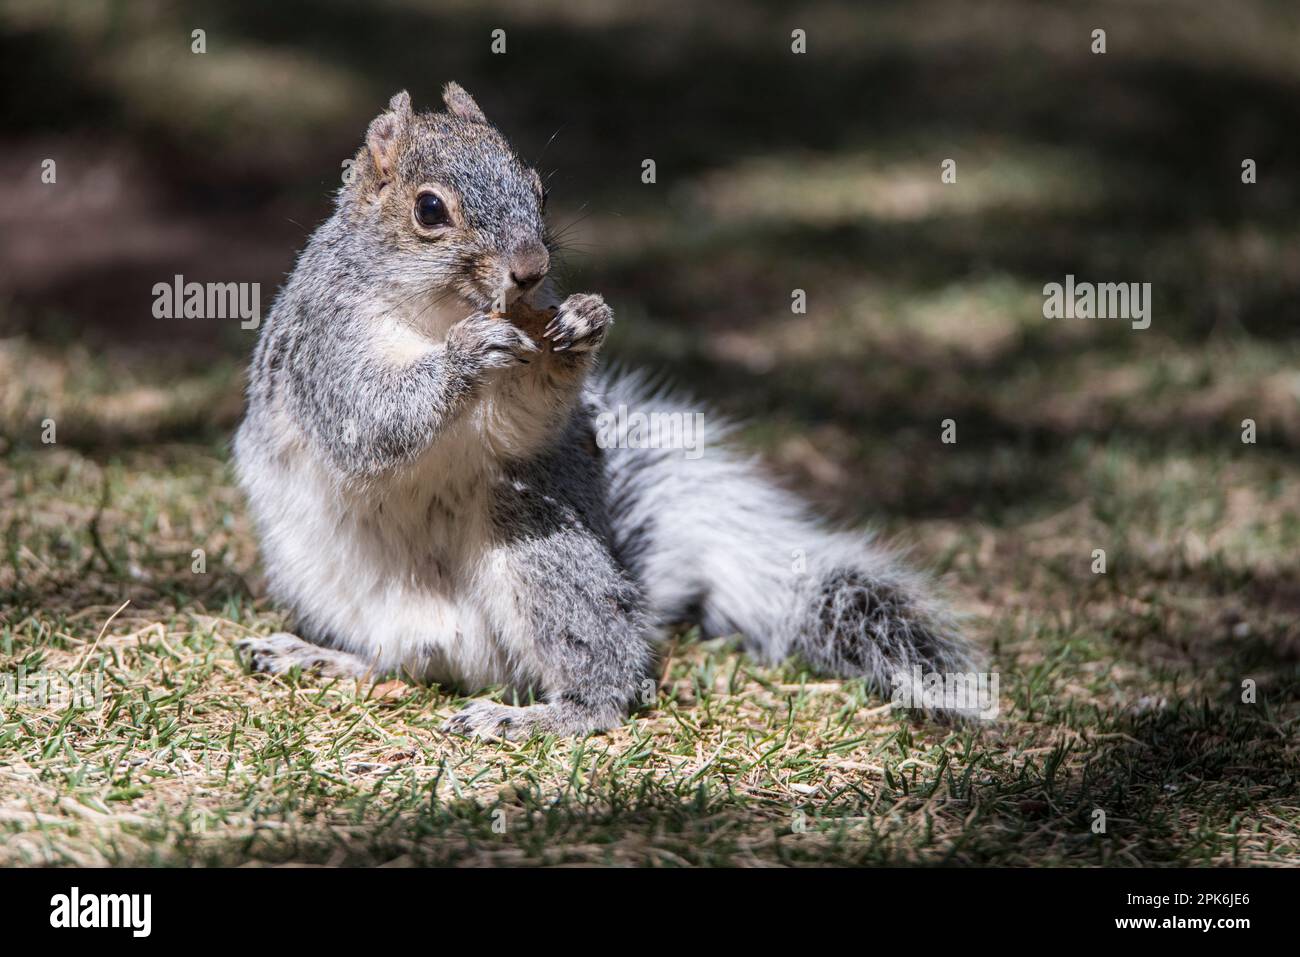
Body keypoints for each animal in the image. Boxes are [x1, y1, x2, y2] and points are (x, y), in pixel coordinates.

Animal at [233, 83, 977, 738]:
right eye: (429, 211)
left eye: (538, 188)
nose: (531, 269)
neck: (435, 316)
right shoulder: (326, 345)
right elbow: (369, 418)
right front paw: (466, 356)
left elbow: (523, 422)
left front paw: (582, 324)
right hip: (321, 583)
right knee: (398, 661)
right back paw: (319, 654)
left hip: (542, 552)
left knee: (604, 678)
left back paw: (541, 714)